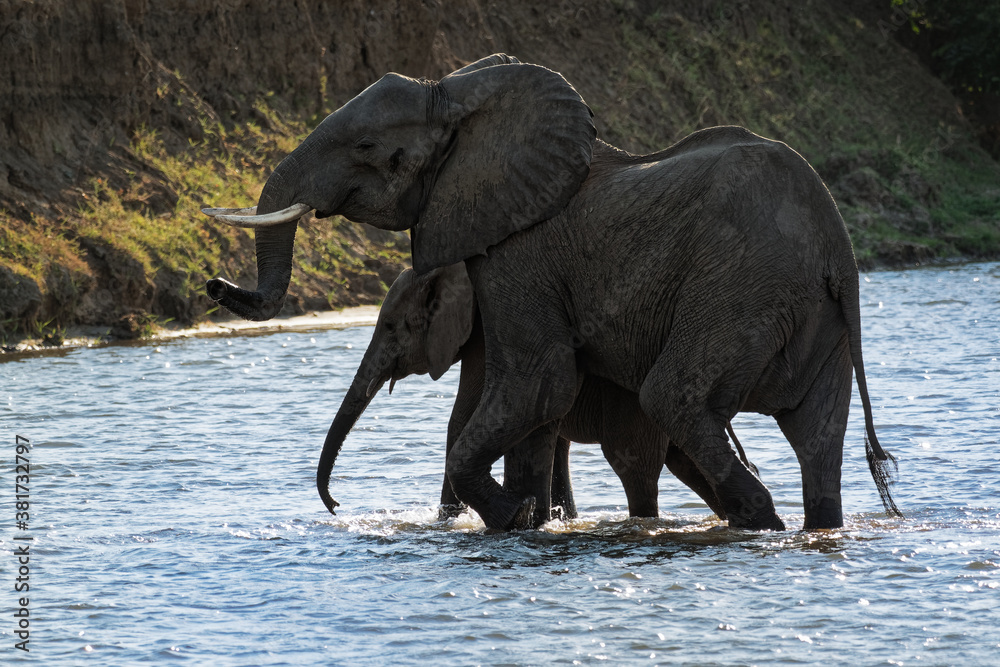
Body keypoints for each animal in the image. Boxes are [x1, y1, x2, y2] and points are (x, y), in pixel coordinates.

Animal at [316, 264, 752, 528]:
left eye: (391, 326)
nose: (337, 506)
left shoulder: (485, 338)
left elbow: (461, 420)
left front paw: (447, 525)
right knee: (686, 462)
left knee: (637, 468)